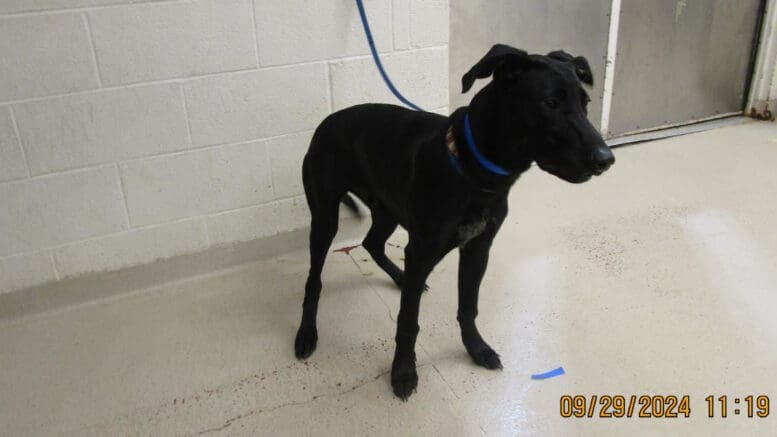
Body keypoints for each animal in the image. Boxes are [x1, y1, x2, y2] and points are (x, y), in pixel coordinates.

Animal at [292, 43, 612, 398]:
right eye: (550, 103)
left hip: (388, 208)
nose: (606, 159)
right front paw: (403, 371)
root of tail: (327, 122)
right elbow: (408, 321)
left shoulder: (477, 249)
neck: (474, 172)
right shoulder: (422, 252)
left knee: (371, 243)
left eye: (585, 103)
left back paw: (401, 279)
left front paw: (476, 348)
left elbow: (468, 307)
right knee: (315, 279)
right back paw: (307, 333)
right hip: (325, 218)